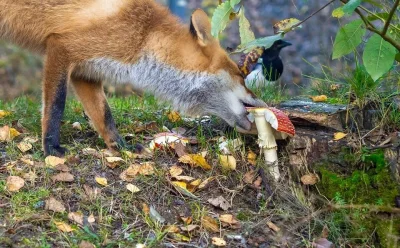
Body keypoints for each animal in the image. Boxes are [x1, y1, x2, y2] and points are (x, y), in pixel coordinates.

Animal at [1, 0, 268, 155]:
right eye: (241, 75)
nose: (265, 103)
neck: (144, 36)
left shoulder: (85, 71)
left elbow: (104, 115)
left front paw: (120, 146)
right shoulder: (62, 47)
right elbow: (55, 105)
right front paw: (51, 148)